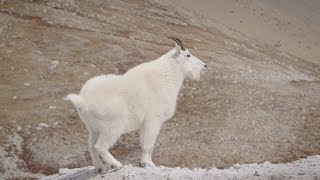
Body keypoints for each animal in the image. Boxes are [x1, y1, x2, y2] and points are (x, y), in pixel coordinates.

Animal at [64, 37, 208, 173]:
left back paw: (100, 168)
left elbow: (147, 143)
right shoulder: (153, 120)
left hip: (93, 128)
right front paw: (146, 163)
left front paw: (149, 162)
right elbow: (148, 144)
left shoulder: (146, 124)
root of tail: (81, 100)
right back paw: (116, 164)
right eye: (188, 55)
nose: (204, 66)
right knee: (99, 146)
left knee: (91, 146)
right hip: (112, 127)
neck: (168, 75)